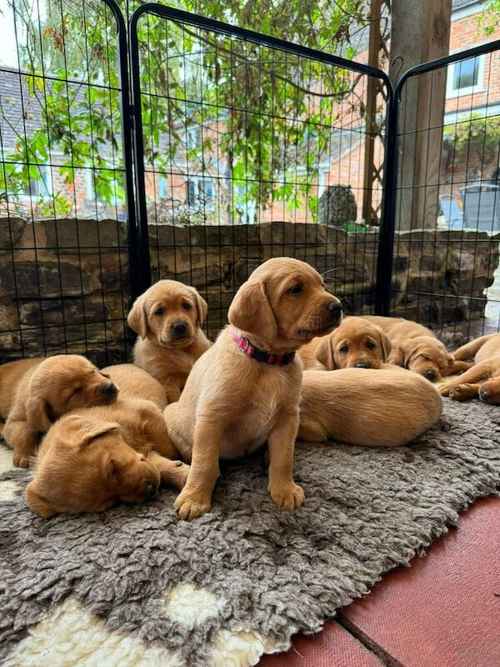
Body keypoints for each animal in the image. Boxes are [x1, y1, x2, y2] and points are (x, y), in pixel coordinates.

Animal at [25, 400, 189, 520]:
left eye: (112, 466)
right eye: (112, 502)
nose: (150, 490)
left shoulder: (147, 411)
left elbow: (165, 443)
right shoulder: (146, 457)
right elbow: (159, 466)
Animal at [166, 256, 342, 520]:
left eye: (323, 285)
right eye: (295, 289)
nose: (338, 306)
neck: (268, 361)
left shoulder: (288, 416)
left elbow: (284, 457)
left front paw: (284, 489)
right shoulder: (212, 416)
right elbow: (204, 461)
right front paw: (194, 498)